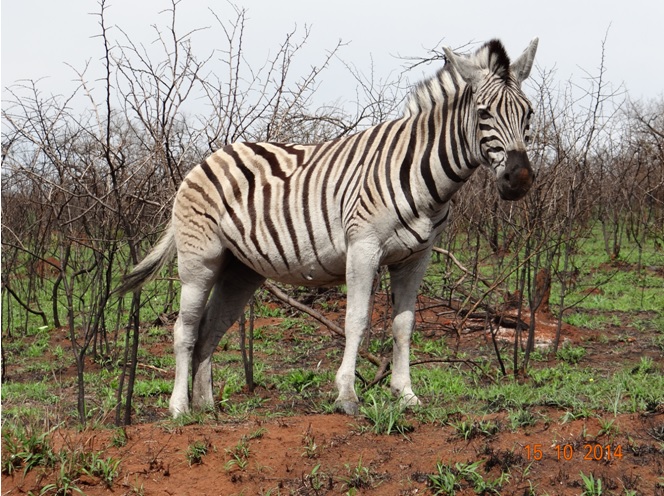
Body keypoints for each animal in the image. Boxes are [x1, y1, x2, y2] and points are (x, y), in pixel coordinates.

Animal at [119, 38, 540, 416]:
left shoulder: (416, 259)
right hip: (200, 260)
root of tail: (206, 159)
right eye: (484, 114)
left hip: (240, 268)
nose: (519, 180)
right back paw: (179, 409)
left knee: (211, 327)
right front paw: (347, 395)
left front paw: (405, 395)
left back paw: (207, 408)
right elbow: (357, 320)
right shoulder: (363, 247)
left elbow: (404, 326)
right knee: (185, 329)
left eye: (529, 114)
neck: (425, 179)